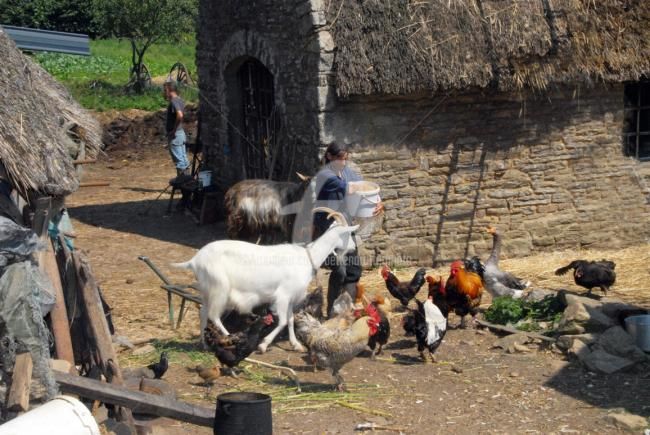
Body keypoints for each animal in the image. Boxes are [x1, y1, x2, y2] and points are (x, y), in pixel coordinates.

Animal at [170, 209, 356, 354]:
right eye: (349, 234)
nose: (354, 248)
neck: (307, 257)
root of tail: (195, 260)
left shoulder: (290, 298)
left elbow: (290, 320)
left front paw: (296, 345)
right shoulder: (283, 295)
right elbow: (282, 321)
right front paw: (263, 345)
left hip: (207, 289)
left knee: (202, 312)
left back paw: (204, 344)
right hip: (219, 287)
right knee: (213, 315)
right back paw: (229, 338)